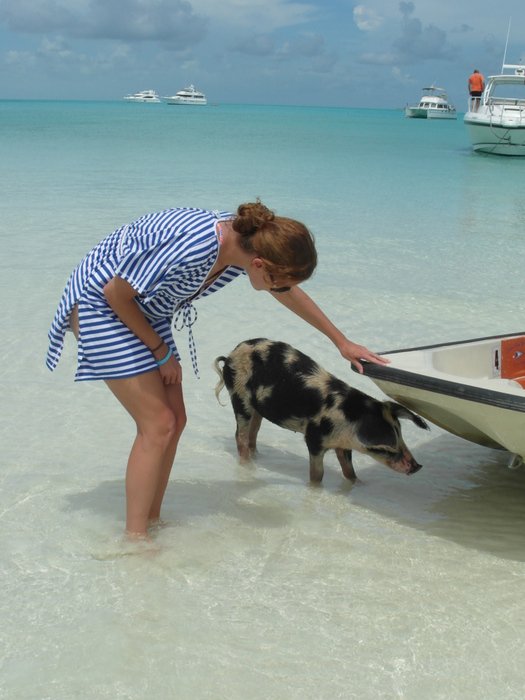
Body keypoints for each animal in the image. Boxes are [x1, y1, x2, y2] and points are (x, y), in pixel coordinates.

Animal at [214, 338, 429, 482]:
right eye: (386, 448)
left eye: (401, 434)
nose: (418, 467)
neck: (349, 418)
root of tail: (230, 356)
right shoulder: (314, 439)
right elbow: (317, 475)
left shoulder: (343, 446)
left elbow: (349, 472)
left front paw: (359, 484)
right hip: (240, 396)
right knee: (240, 435)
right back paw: (247, 465)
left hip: (257, 406)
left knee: (254, 431)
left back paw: (258, 458)